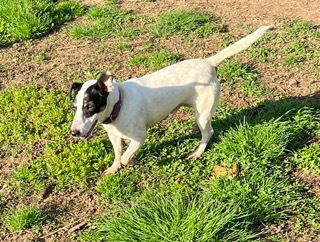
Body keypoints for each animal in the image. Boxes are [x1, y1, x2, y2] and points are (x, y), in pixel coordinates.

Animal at [69, 26, 272, 174]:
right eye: (74, 107)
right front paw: (113, 168)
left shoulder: (140, 137)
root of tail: (208, 62)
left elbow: (126, 157)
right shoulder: (114, 136)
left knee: (208, 132)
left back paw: (197, 152)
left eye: (90, 106)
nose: (74, 133)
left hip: (202, 114)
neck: (119, 104)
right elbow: (118, 154)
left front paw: (131, 160)